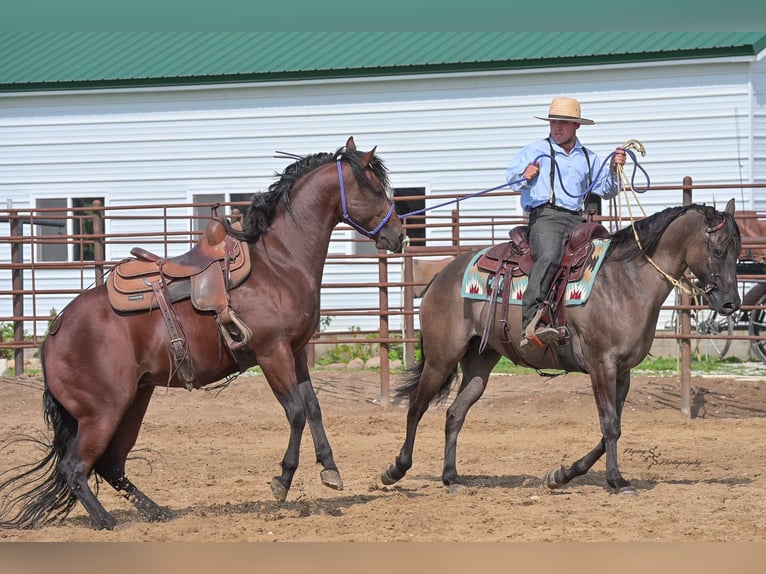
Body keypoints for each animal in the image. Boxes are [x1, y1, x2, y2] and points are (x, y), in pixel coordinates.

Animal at [0, 137, 405, 530]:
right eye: (374, 189)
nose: (399, 235)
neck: (279, 263)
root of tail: (55, 332)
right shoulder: (272, 353)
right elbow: (295, 413)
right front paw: (282, 480)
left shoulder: (296, 351)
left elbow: (314, 408)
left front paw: (330, 469)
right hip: (103, 412)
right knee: (76, 467)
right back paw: (108, 522)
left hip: (133, 403)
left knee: (110, 465)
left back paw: (157, 512)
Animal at [381, 199, 741, 495]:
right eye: (718, 250)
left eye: (738, 252)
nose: (731, 304)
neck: (626, 279)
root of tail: (442, 276)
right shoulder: (601, 365)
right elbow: (610, 425)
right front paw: (617, 481)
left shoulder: (623, 372)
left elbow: (611, 429)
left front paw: (562, 475)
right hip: (441, 358)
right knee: (416, 407)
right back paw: (396, 469)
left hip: (479, 362)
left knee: (455, 414)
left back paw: (451, 478)